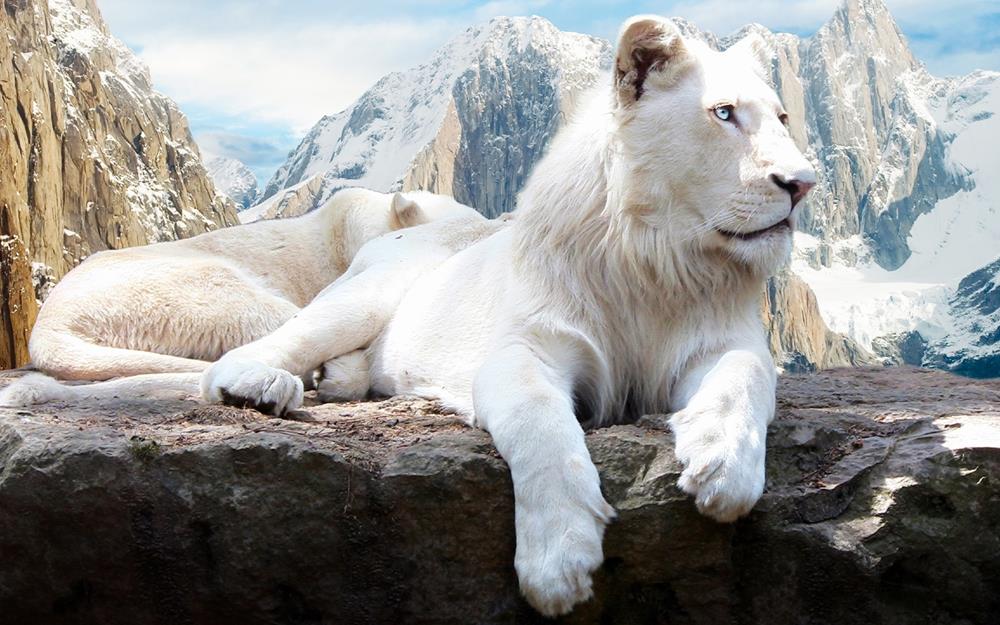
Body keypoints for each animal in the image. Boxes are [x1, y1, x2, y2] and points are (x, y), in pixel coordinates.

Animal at [198, 15, 817, 615]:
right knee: (255, 352)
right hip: (368, 294)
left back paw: (337, 379)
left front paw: (723, 466)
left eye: (784, 117)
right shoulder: (527, 348)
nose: (803, 184)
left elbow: (744, 378)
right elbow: (539, 424)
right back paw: (261, 386)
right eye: (723, 113)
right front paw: (559, 561)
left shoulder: (722, 341)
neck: (656, 258)